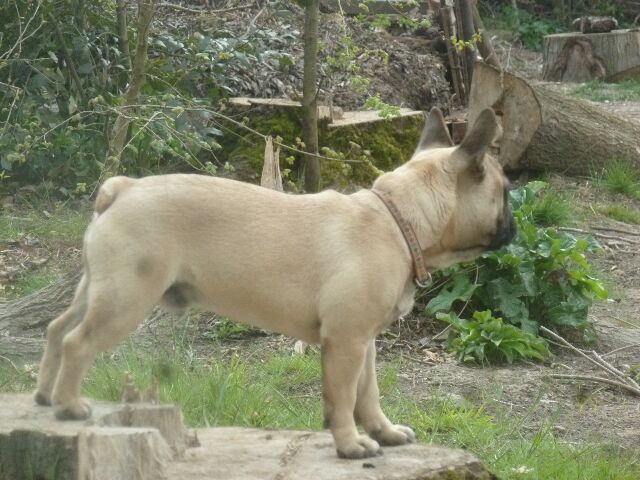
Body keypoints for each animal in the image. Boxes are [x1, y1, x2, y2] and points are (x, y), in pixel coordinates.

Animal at [34, 107, 515, 459]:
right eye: (507, 192)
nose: (512, 225)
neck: (399, 219)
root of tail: (123, 188)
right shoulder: (346, 342)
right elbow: (343, 397)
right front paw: (350, 444)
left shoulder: (364, 342)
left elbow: (368, 392)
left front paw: (384, 432)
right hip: (126, 298)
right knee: (78, 342)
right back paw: (70, 405)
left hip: (97, 289)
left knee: (58, 329)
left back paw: (44, 396)